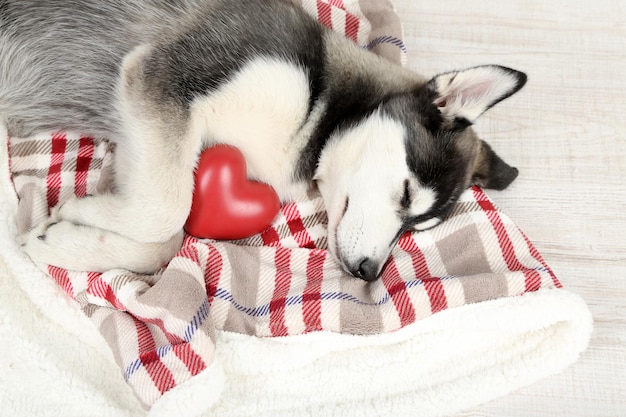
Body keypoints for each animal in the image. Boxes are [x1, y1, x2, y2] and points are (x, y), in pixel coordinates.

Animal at [0, 0, 524, 282]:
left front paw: (66, 238)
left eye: (416, 229)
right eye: (407, 193)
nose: (370, 272)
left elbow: (166, 239)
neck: (317, 110)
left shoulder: (143, 131)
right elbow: (165, 209)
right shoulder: (160, 78)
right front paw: (75, 212)